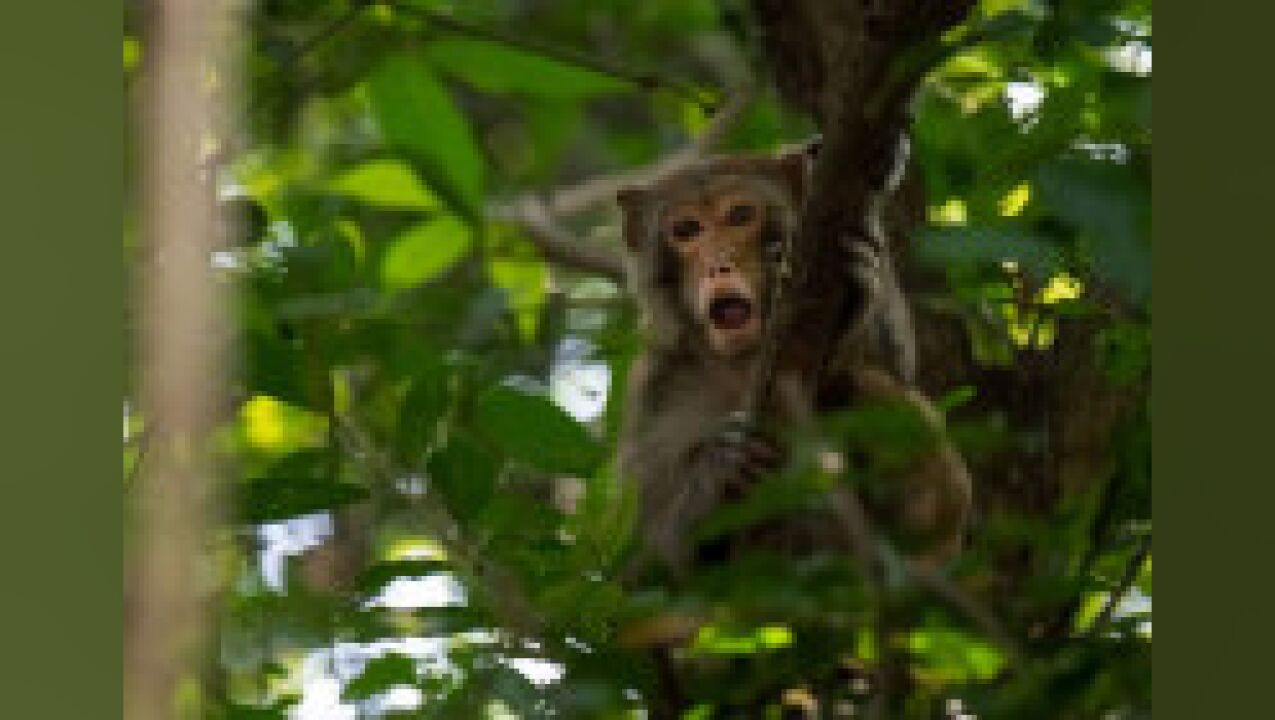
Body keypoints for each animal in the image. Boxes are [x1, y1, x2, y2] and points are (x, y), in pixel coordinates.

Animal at [612, 147, 969, 578]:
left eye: (740, 215)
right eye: (686, 230)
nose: (718, 263)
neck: (742, 362)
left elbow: (900, 370)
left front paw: (856, 291)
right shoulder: (656, 386)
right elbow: (649, 564)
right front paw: (719, 469)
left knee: (875, 389)